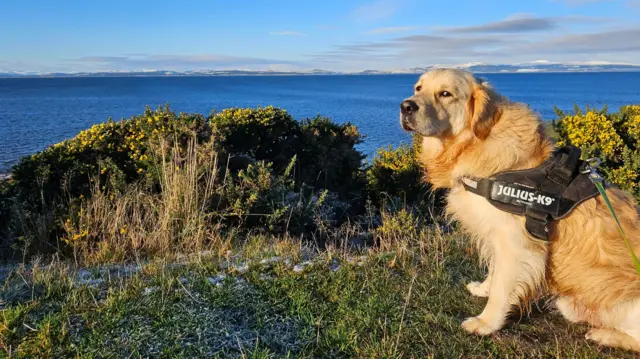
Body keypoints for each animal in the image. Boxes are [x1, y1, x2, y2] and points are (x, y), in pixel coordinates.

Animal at [400, 67, 640, 352]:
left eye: (445, 93)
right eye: (418, 88)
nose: (406, 106)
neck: (475, 143)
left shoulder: (517, 242)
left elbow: (502, 287)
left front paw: (486, 323)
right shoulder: (495, 234)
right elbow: (494, 271)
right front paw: (483, 288)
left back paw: (605, 335)